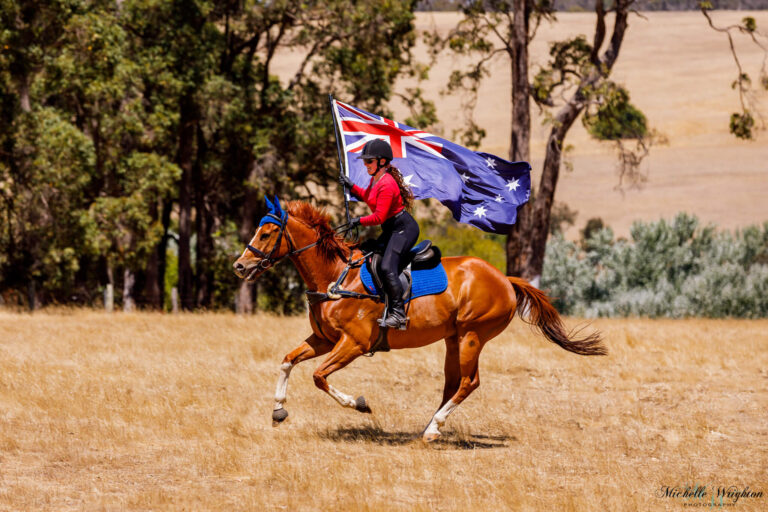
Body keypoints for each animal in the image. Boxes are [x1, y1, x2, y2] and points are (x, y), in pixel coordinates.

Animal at [234, 198, 608, 442]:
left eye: (266, 234)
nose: (239, 266)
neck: (335, 275)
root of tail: (505, 278)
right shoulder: (324, 340)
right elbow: (287, 361)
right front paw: (278, 410)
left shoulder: (353, 344)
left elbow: (318, 376)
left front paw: (359, 404)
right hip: (453, 340)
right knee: (452, 384)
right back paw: (430, 427)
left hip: (472, 336)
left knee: (469, 383)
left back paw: (433, 429)